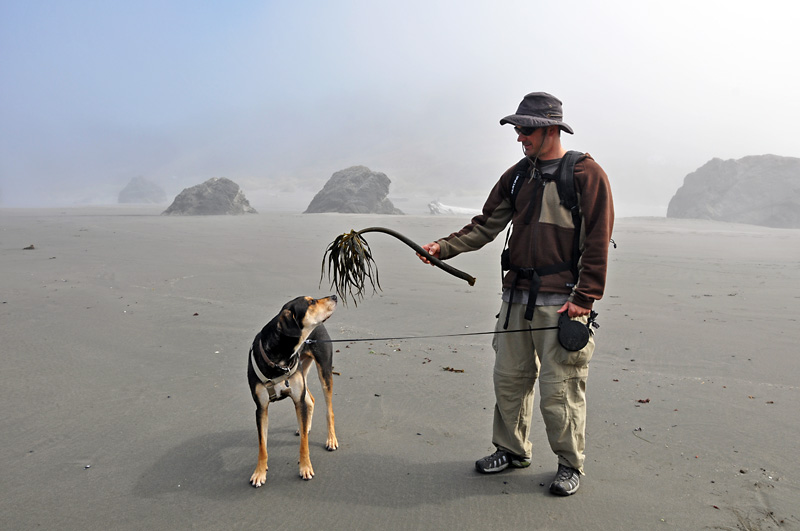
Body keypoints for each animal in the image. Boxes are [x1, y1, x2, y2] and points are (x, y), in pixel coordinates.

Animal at [248, 296, 340, 486]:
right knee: (310, 400)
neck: (280, 359)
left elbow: (304, 444)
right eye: (311, 302)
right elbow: (262, 445)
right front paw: (259, 472)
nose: (334, 296)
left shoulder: (297, 399)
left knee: (329, 411)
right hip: (302, 374)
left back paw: (331, 439)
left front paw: (305, 468)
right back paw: (306, 426)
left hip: (325, 373)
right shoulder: (261, 408)